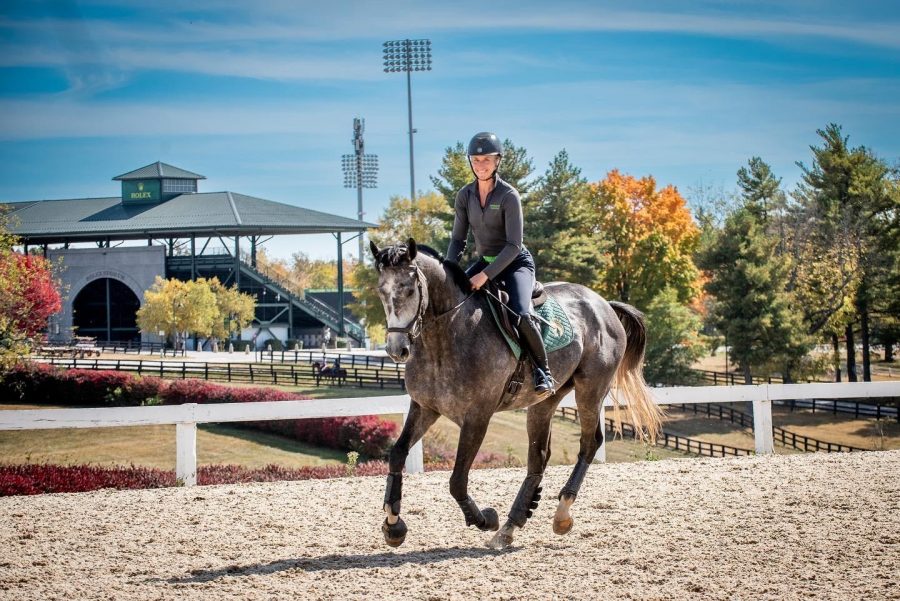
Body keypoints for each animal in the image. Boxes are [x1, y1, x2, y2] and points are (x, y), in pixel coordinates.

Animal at [370, 238, 663, 549]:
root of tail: (603, 303)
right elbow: (397, 454)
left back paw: (561, 514)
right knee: (539, 455)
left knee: (589, 443)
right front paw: (393, 524)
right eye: (381, 291)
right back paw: (513, 524)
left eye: (409, 289)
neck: (445, 335)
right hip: (545, 401)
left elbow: (457, 480)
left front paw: (485, 519)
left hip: (591, 390)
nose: (397, 349)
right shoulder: (424, 408)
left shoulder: (477, 417)